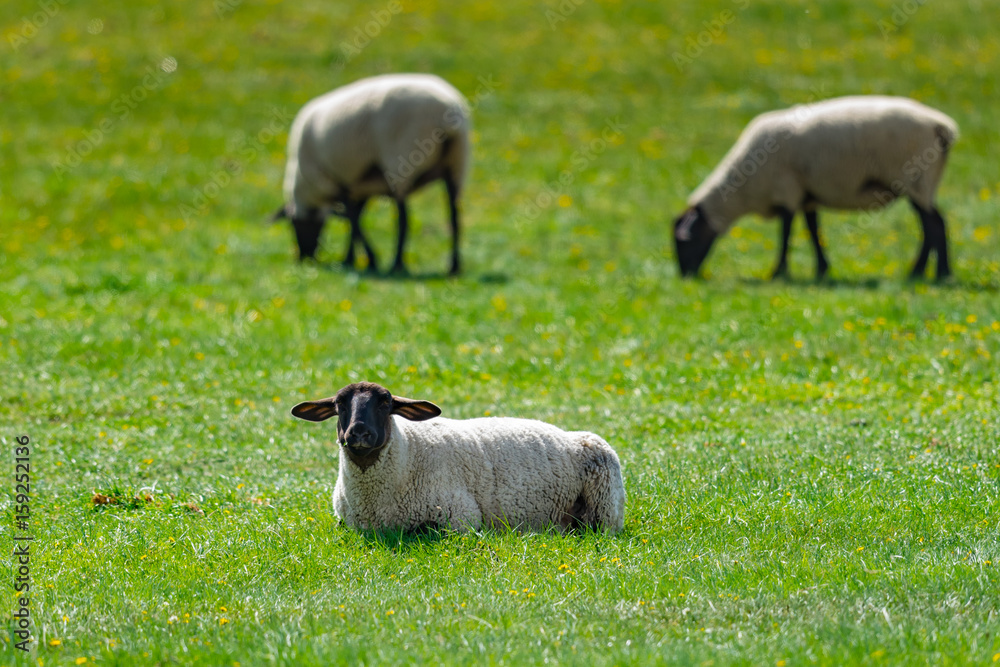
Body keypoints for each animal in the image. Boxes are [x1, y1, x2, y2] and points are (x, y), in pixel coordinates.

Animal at [271, 73, 471, 275]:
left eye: (294, 225)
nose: (304, 258)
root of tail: (447, 110)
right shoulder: (359, 186)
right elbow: (355, 220)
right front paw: (350, 259)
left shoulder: (335, 181)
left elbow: (353, 220)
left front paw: (368, 260)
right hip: (456, 163)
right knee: (454, 216)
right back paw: (454, 266)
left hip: (402, 160)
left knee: (403, 219)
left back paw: (397, 264)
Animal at [673, 95, 959, 281]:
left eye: (683, 242)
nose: (685, 275)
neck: (743, 188)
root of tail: (943, 127)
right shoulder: (806, 195)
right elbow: (813, 231)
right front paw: (822, 270)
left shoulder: (786, 189)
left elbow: (786, 232)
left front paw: (778, 272)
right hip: (920, 182)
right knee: (931, 225)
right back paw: (923, 272)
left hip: (916, 178)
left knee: (934, 224)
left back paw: (935, 273)